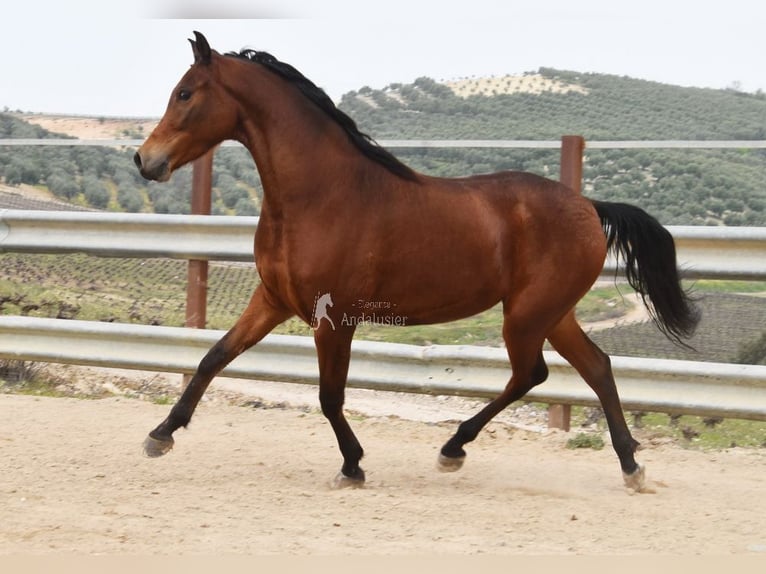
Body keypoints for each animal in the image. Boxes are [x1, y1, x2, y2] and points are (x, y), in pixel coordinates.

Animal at [134, 31, 699, 491]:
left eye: (185, 93)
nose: (145, 160)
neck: (320, 195)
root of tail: (589, 206)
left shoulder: (334, 319)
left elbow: (329, 396)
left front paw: (352, 466)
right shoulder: (272, 300)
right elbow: (213, 358)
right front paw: (160, 435)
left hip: (527, 316)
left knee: (532, 374)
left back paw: (454, 449)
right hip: (553, 314)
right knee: (596, 367)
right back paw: (630, 466)